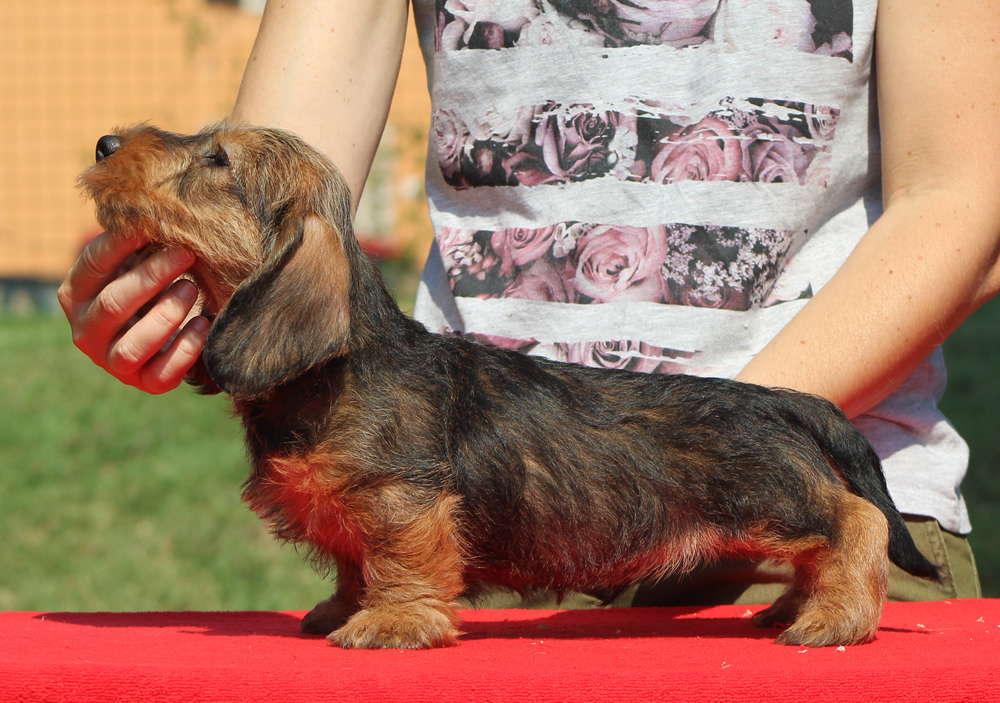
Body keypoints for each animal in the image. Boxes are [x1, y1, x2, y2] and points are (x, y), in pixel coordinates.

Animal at [76, 124, 936, 652]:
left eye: (218, 161)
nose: (105, 141)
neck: (332, 371)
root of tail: (778, 398)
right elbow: (354, 561)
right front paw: (341, 608)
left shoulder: (402, 495)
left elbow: (399, 556)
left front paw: (390, 621)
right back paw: (796, 604)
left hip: (772, 498)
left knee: (856, 521)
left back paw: (834, 616)